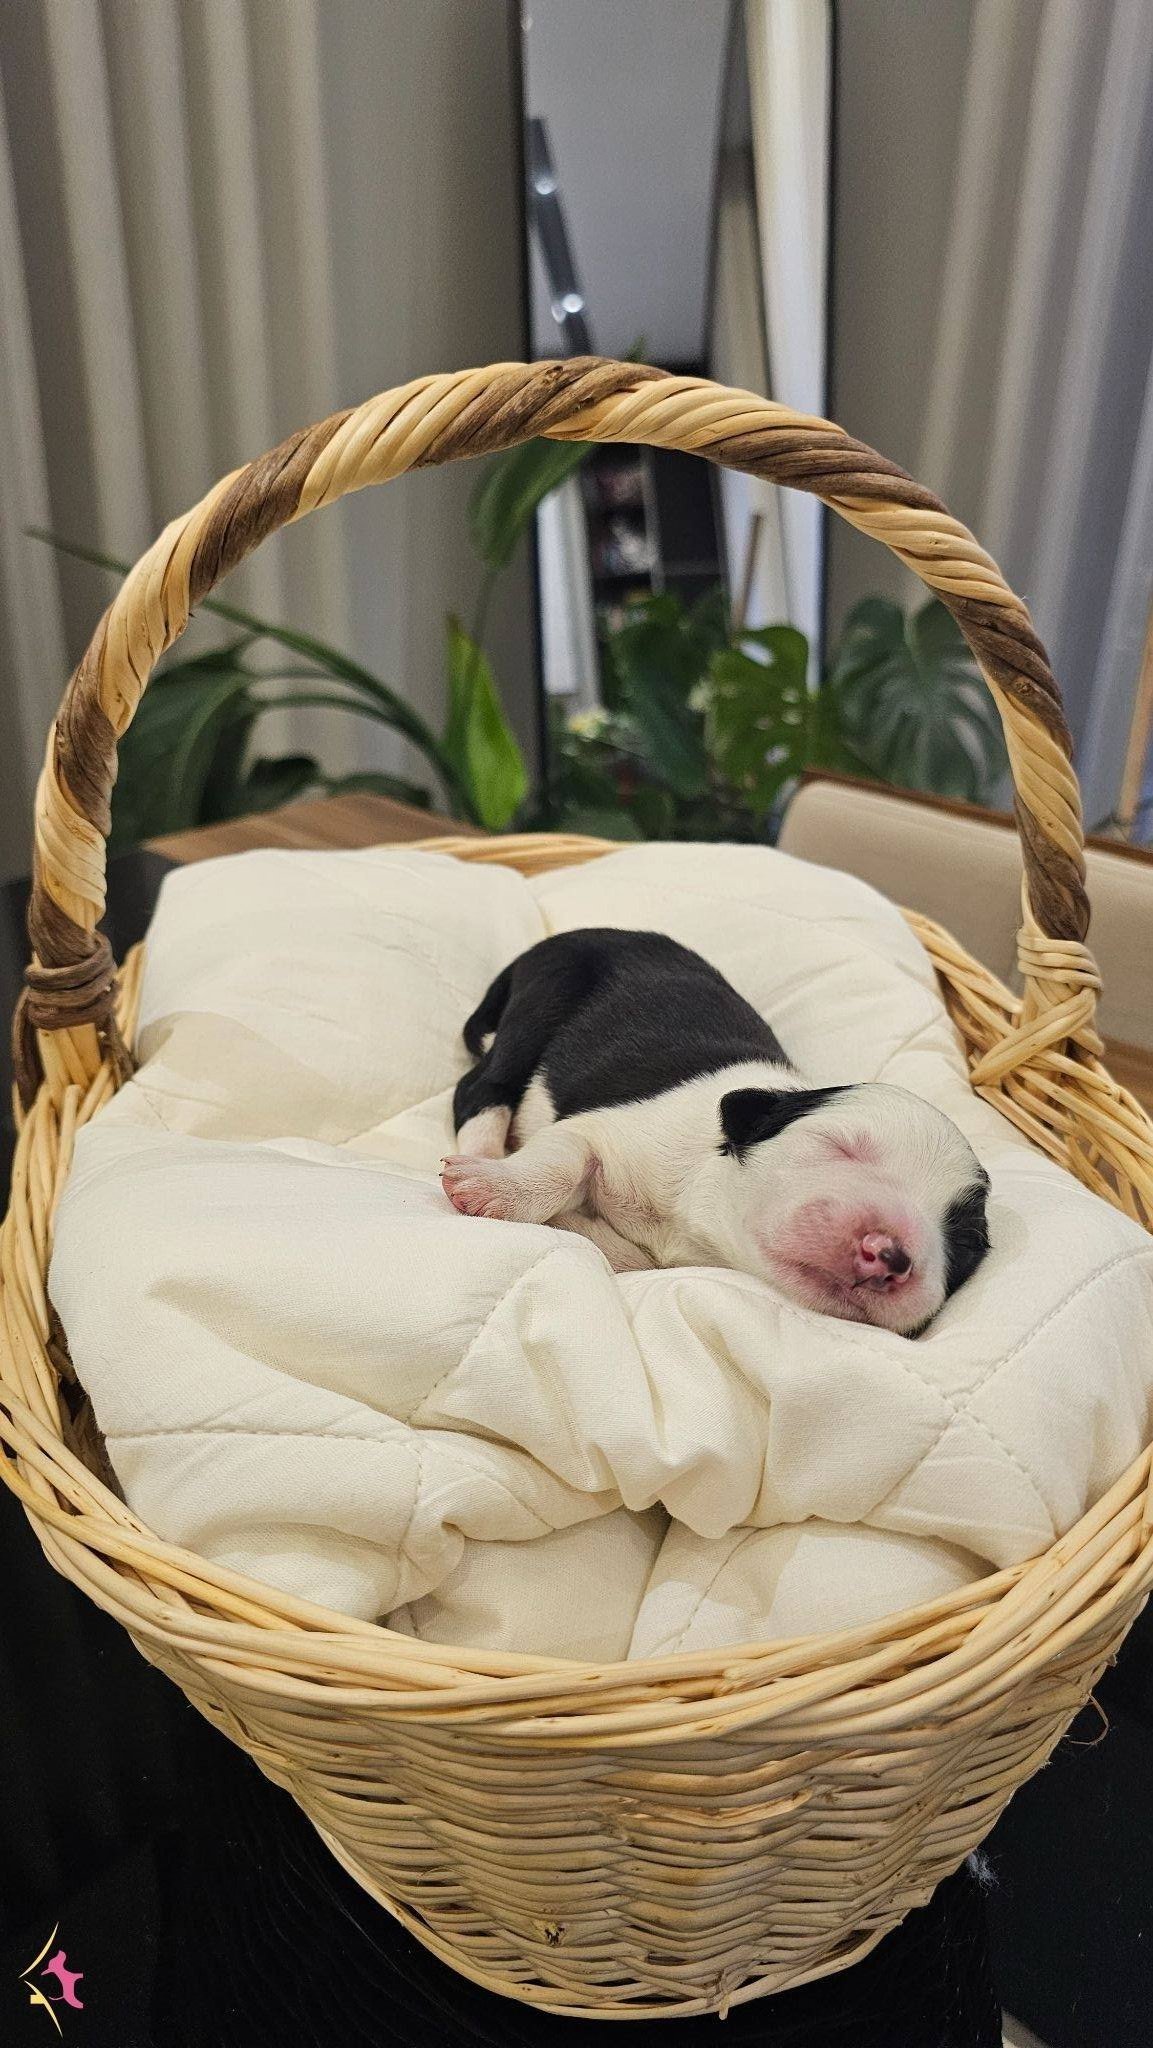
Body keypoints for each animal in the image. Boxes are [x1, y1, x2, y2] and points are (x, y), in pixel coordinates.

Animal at [441, 929, 990, 1335]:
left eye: (965, 1244)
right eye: (839, 1147)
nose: (890, 1255)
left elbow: (627, 1258)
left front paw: (576, 1226)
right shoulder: (606, 1130)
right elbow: (565, 1158)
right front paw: (499, 1188)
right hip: (547, 993)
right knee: (480, 1087)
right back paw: (485, 1153)